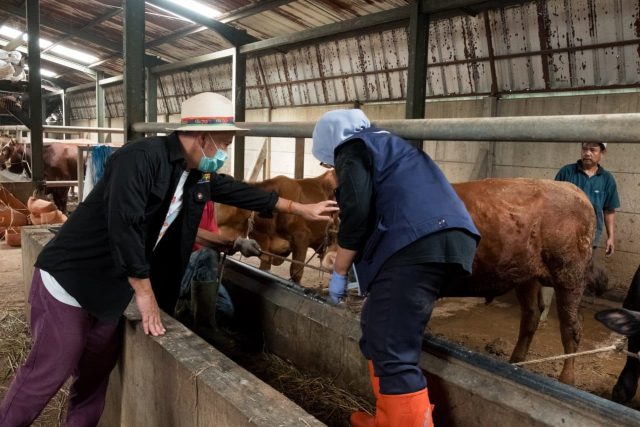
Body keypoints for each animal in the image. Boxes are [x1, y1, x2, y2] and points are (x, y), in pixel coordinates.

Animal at [324, 179, 600, 386]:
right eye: (333, 225)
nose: (330, 260)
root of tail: (576, 193)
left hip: (568, 276)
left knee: (571, 327)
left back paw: (566, 379)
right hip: (526, 277)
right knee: (531, 316)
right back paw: (515, 361)